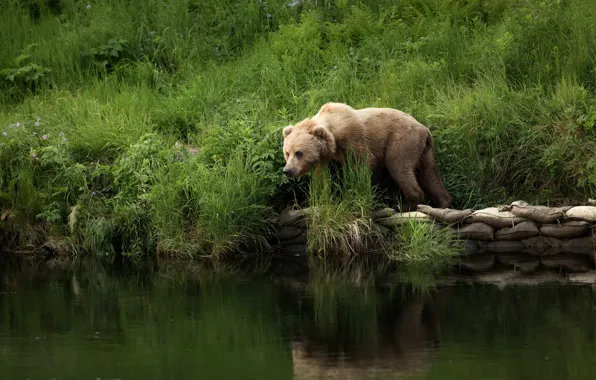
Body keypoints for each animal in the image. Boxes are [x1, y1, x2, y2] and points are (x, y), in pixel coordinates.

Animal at [282, 101, 452, 211]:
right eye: (287, 153)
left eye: (299, 153)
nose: (287, 170)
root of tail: (424, 129)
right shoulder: (324, 157)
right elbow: (322, 178)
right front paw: (319, 199)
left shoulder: (354, 140)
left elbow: (365, 165)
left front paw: (359, 193)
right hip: (424, 151)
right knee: (429, 173)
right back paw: (444, 203)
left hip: (402, 140)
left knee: (399, 167)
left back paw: (404, 205)